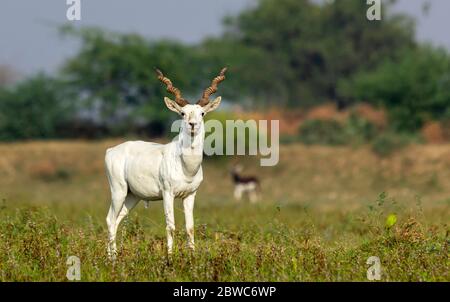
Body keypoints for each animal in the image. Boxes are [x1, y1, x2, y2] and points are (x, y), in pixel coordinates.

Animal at [104, 66, 227, 258]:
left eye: (202, 113)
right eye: (183, 113)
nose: (192, 124)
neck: (186, 168)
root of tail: (111, 150)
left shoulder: (190, 195)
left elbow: (190, 227)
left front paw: (192, 257)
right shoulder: (168, 193)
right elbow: (171, 226)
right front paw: (169, 257)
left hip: (133, 196)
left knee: (116, 220)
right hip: (118, 190)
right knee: (110, 219)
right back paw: (112, 259)